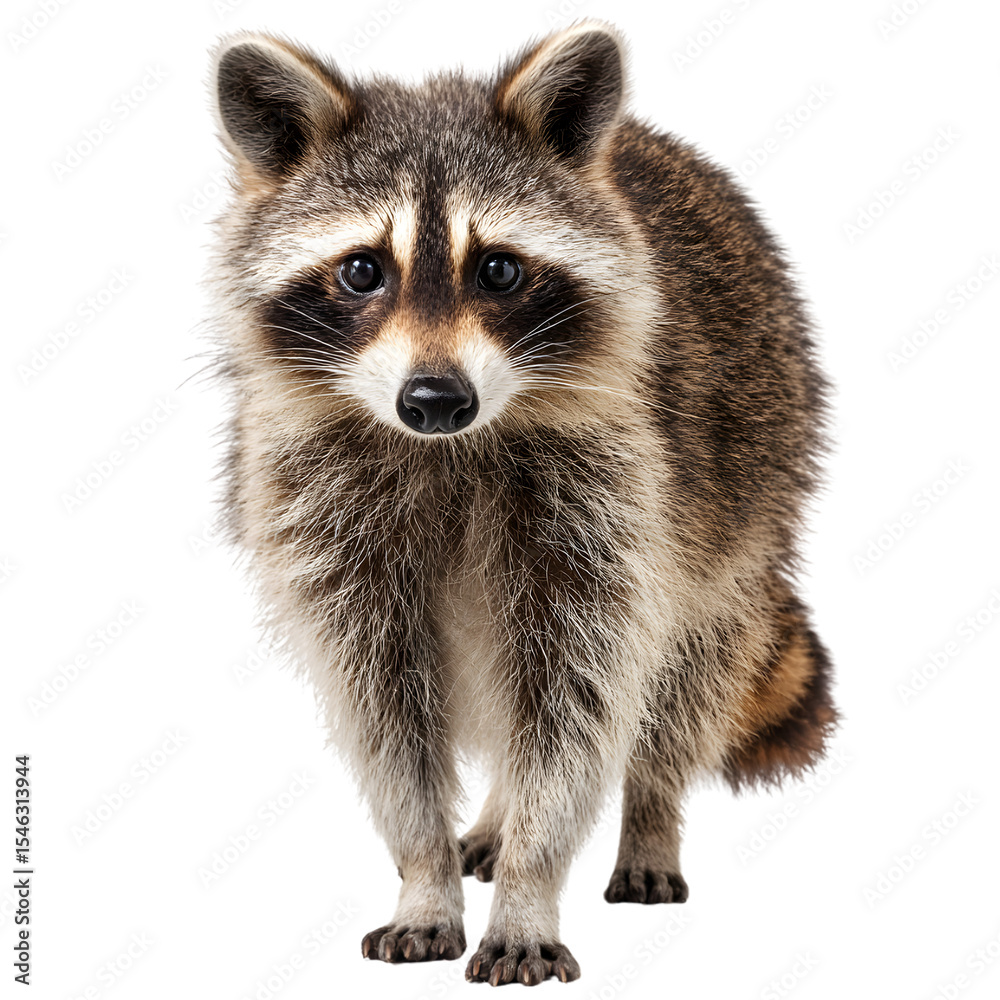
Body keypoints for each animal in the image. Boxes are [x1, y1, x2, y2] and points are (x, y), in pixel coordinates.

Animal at [208, 21, 837, 987]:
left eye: (499, 269)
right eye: (362, 271)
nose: (435, 399)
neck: (449, 450)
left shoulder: (618, 494)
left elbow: (577, 697)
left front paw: (532, 885)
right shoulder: (320, 511)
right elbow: (384, 706)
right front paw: (423, 874)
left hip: (752, 475)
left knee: (686, 671)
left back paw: (650, 818)